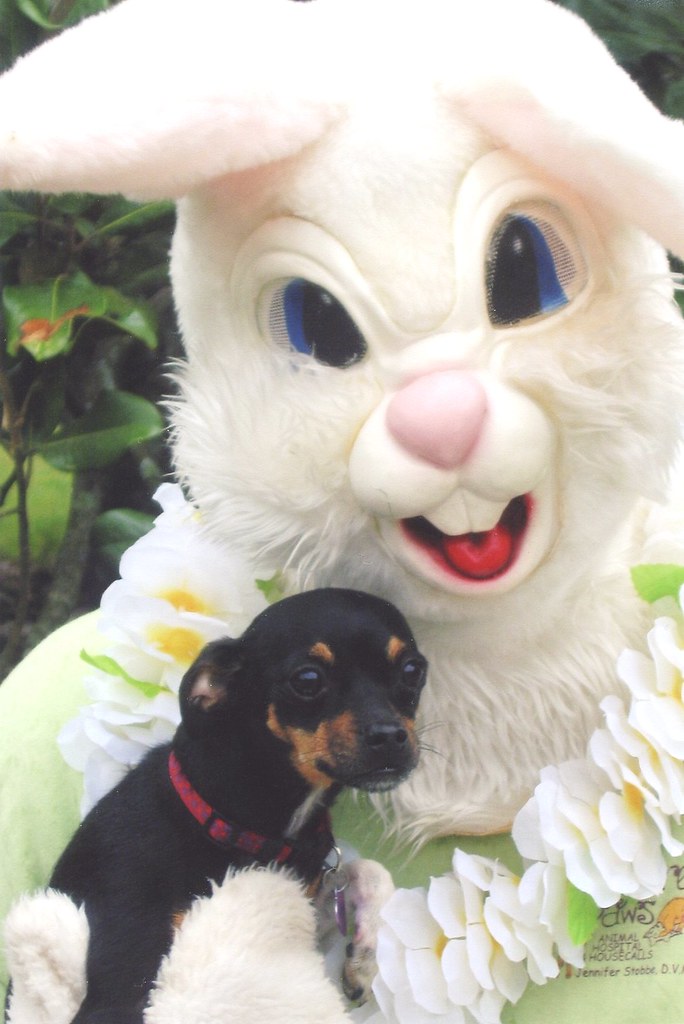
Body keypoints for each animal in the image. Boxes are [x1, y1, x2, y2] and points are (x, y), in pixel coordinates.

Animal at [45, 589, 423, 1024]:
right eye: (307, 680)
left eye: (413, 670)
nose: (390, 736)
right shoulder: (121, 990)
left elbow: (372, 871)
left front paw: (365, 957)